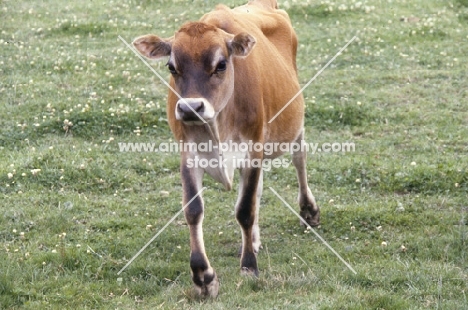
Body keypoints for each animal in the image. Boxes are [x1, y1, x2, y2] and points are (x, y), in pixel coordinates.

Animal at [133, 0, 320, 296]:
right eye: (172, 67)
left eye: (221, 64)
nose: (190, 108)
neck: (217, 127)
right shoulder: (189, 155)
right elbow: (193, 209)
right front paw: (203, 275)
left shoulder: (252, 150)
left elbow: (245, 209)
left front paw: (249, 266)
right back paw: (253, 239)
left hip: (294, 121)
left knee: (299, 159)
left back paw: (308, 211)